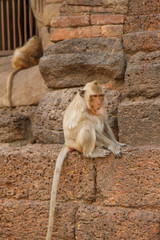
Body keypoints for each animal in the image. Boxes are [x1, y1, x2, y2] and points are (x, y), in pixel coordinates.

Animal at [45, 80, 125, 240]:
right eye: (94, 96)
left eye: (100, 95)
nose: (99, 102)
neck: (90, 106)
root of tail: (68, 143)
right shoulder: (83, 111)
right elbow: (90, 125)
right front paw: (114, 146)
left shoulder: (103, 109)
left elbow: (105, 123)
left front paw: (117, 143)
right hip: (78, 144)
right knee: (87, 126)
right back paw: (91, 153)